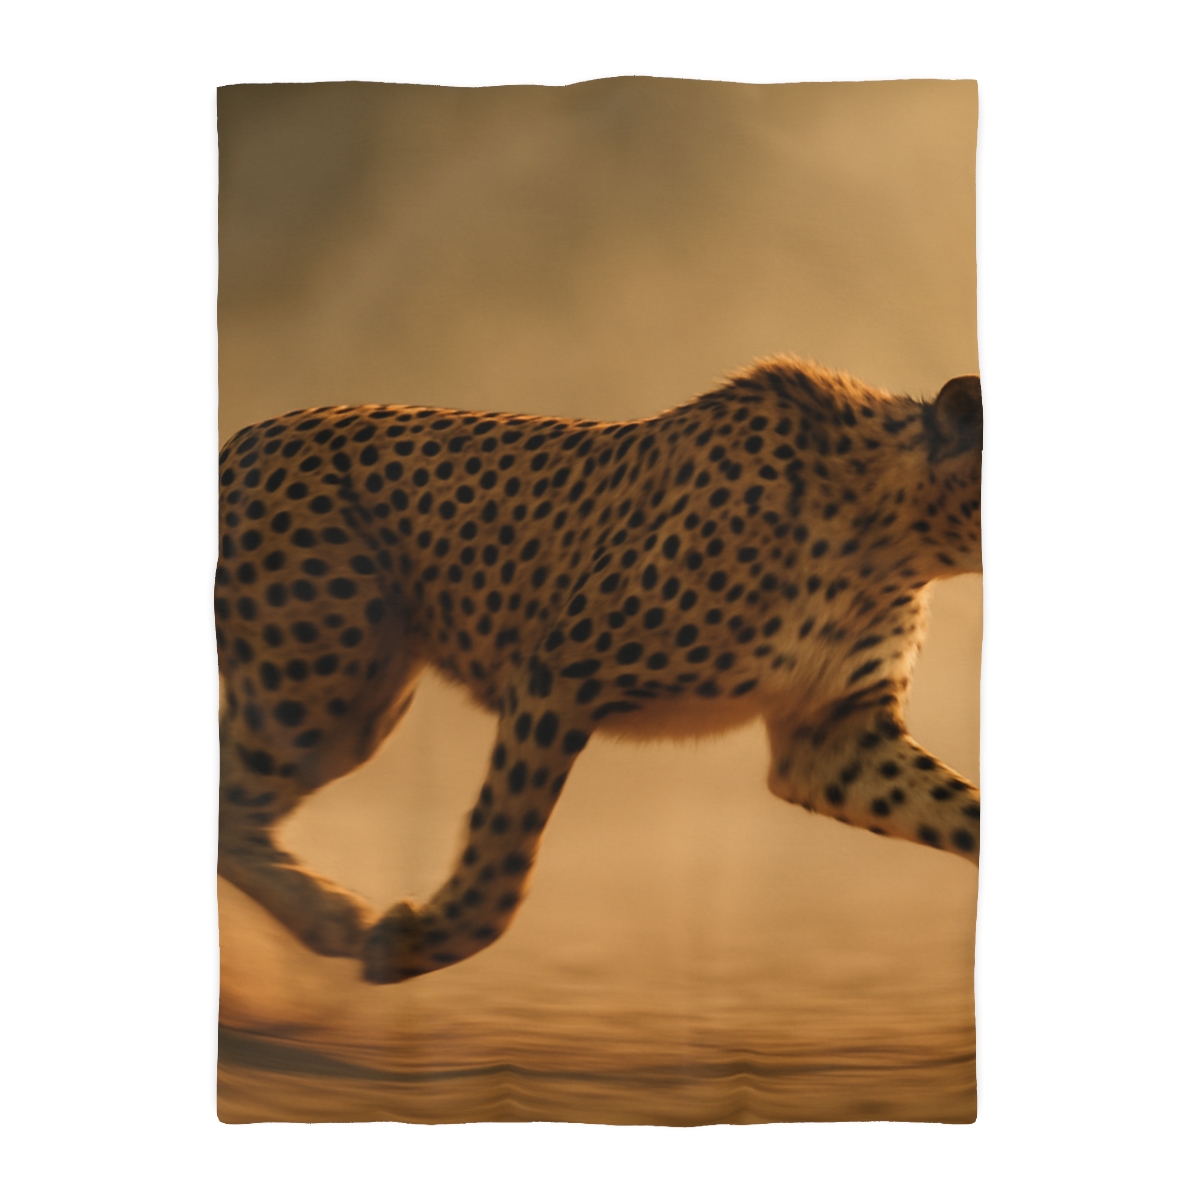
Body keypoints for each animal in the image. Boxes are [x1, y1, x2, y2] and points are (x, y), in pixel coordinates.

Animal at [215, 355, 983, 984]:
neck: (892, 528)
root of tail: (246, 436)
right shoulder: (555, 680)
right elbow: (502, 854)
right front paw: (420, 940)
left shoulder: (831, 738)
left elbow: (964, 811)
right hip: (314, 687)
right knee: (231, 804)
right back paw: (334, 920)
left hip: (355, 706)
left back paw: (324, 921)